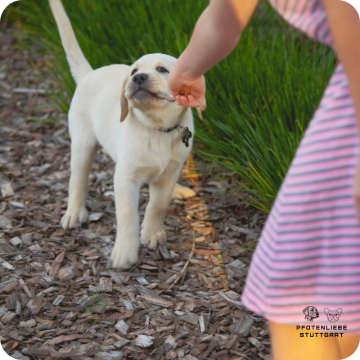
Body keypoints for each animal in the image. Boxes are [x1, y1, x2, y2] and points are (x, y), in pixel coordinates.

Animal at [48, 0, 204, 268]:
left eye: (162, 69)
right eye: (133, 72)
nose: (139, 77)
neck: (157, 128)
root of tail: (90, 73)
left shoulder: (169, 172)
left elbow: (158, 204)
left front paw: (153, 233)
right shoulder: (125, 177)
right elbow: (128, 215)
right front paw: (125, 252)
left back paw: (179, 190)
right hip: (82, 142)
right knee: (77, 179)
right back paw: (74, 212)